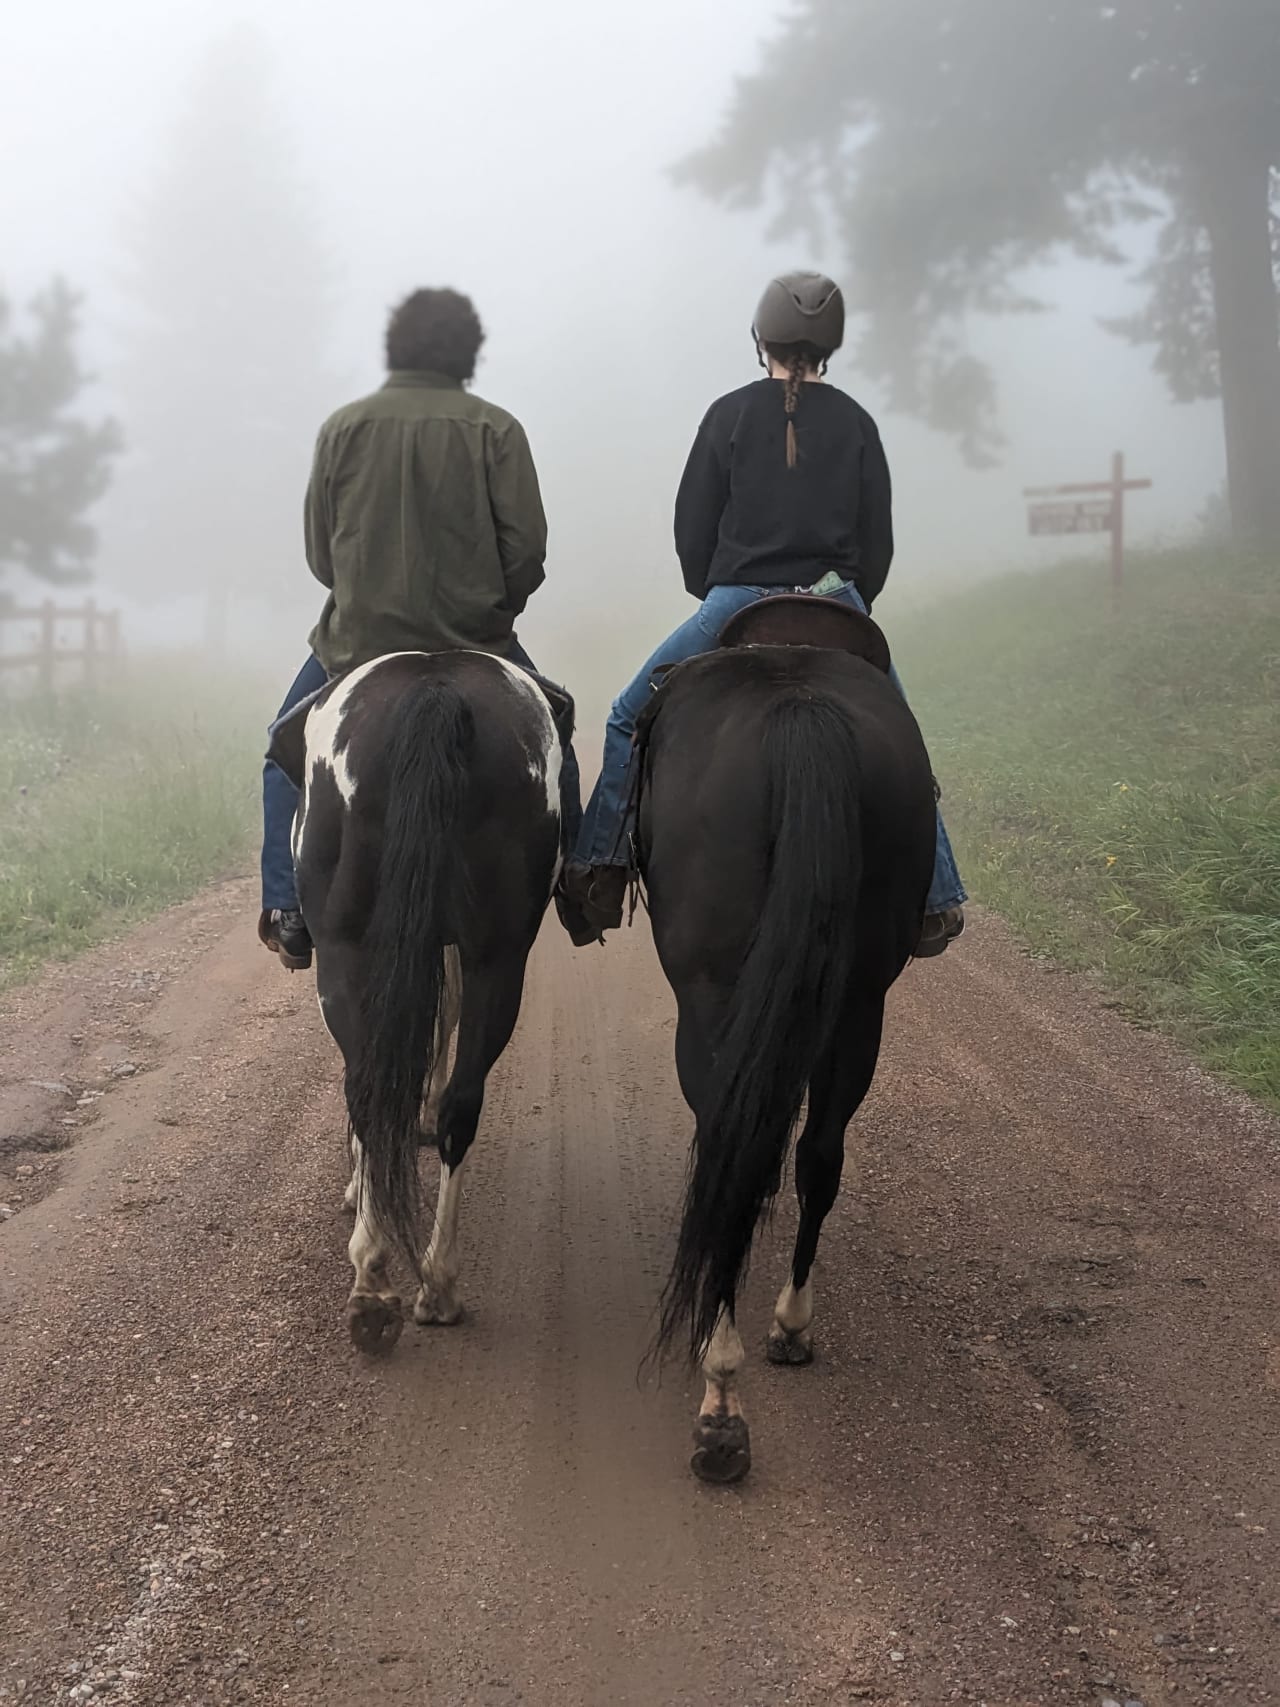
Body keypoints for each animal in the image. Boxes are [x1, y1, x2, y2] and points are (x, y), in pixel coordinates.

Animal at [267, 645, 563, 1351]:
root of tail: (434, 691)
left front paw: (358, 1184)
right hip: (498, 955)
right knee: (461, 1103)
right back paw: (433, 1284)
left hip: (345, 948)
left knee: (370, 1090)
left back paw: (379, 1282)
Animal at [638, 594, 935, 1474]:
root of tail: (800, 711)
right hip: (861, 998)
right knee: (819, 1152)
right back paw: (791, 1324)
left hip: (711, 994)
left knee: (727, 1150)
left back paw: (720, 1401)